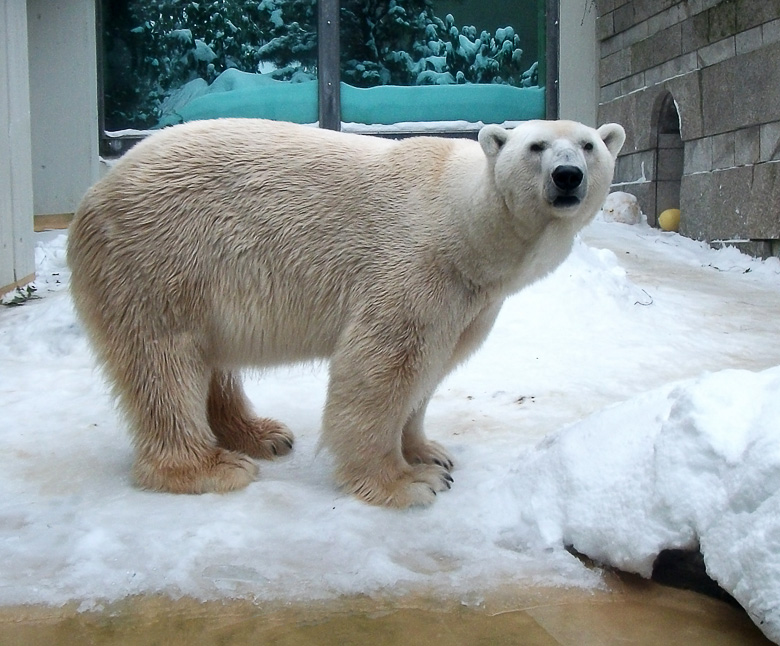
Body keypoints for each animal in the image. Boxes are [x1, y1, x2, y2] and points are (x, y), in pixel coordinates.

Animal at [68, 119, 628, 508]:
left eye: (588, 145)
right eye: (535, 146)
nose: (567, 176)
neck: (463, 226)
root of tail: (94, 194)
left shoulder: (471, 300)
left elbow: (431, 370)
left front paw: (429, 451)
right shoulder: (415, 264)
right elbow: (383, 368)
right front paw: (409, 481)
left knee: (208, 360)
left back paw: (263, 434)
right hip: (162, 258)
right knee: (164, 360)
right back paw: (209, 467)